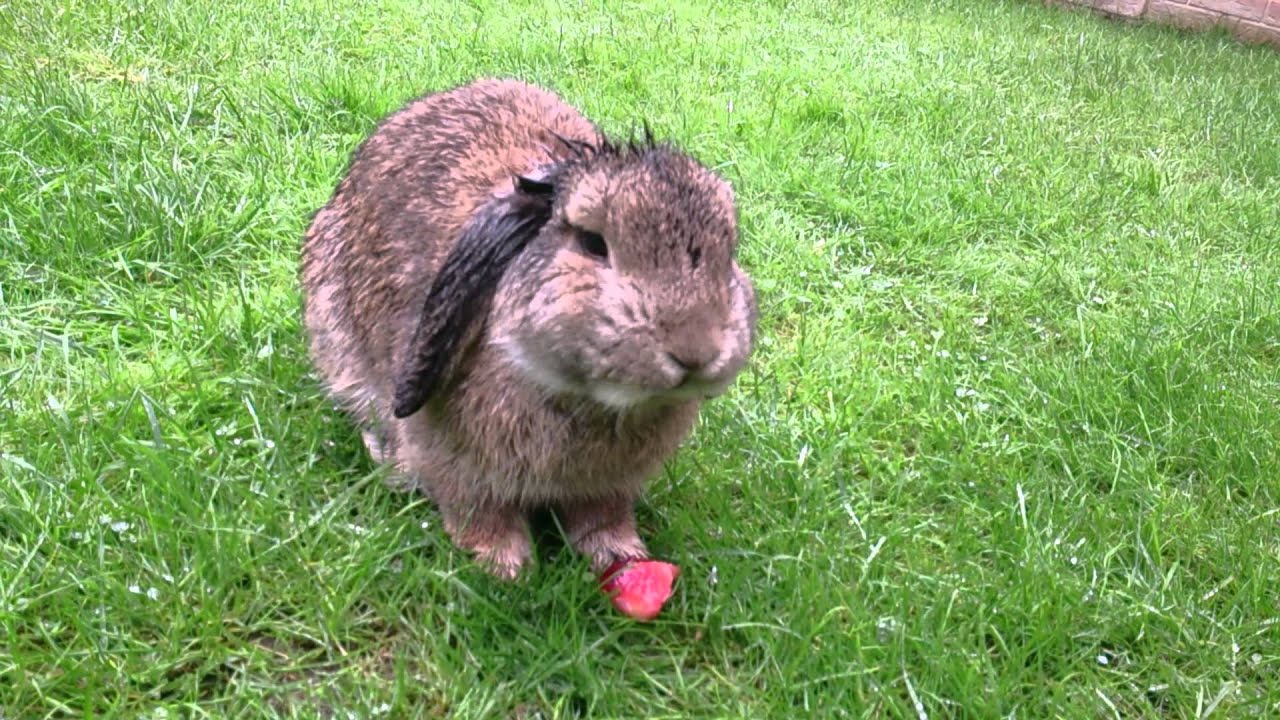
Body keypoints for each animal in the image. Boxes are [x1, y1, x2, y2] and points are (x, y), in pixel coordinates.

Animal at [300, 78, 757, 579]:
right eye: (592, 243)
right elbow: (478, 513)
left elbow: (603, 519)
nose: (696, 351)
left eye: (728, 252)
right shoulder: (455, 465)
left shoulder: (608, 487)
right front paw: (505, 567)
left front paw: (620, 557)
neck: (584, 397)